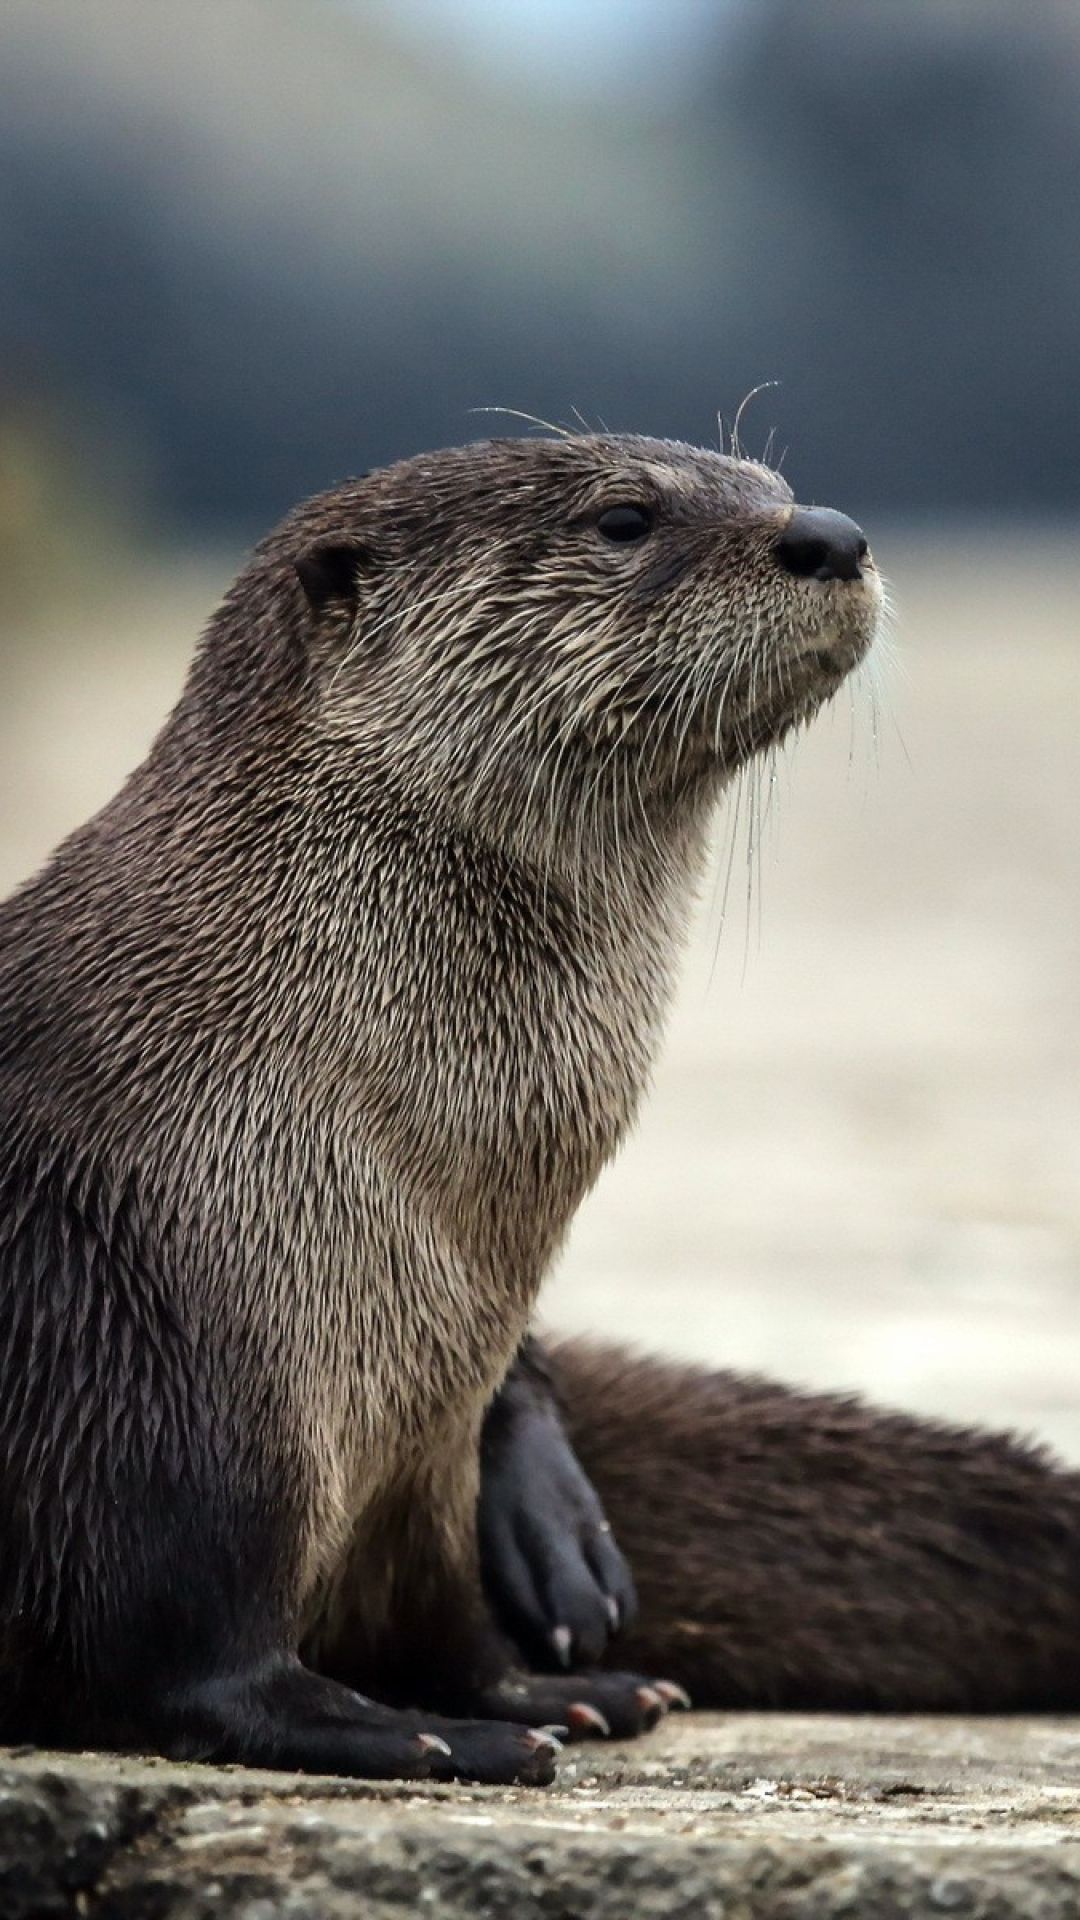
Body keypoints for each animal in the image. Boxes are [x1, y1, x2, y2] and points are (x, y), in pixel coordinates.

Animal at [0, 432, 884, 1784]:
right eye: (624, 517)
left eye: (770, 482)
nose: (829, 533)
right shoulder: (135, 1338)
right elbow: (158, 1655)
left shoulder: (426, 1425)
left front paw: (538, 1649)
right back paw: (419, 1730)